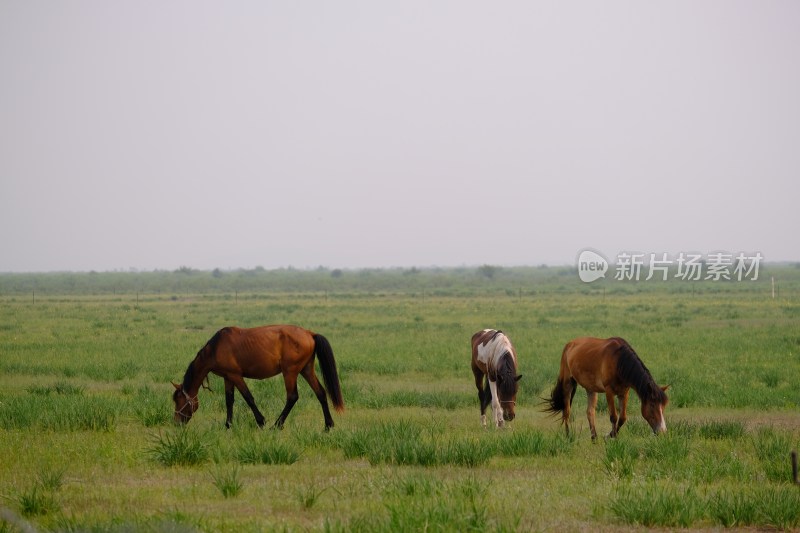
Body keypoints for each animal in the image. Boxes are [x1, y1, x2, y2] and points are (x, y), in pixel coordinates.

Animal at [172, 322, 340, 430]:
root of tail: (309, 333)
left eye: (178, 400)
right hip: (306, 370)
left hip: (290, 372)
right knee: (321, 393)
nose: (177, 423)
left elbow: (248, 398)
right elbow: (229, 401)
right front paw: (228, 425)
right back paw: (328, 425)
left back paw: (277, 425)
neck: (215, 348)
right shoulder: (228, 378)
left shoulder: (236, 376)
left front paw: (261, 421)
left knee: (292, 397)